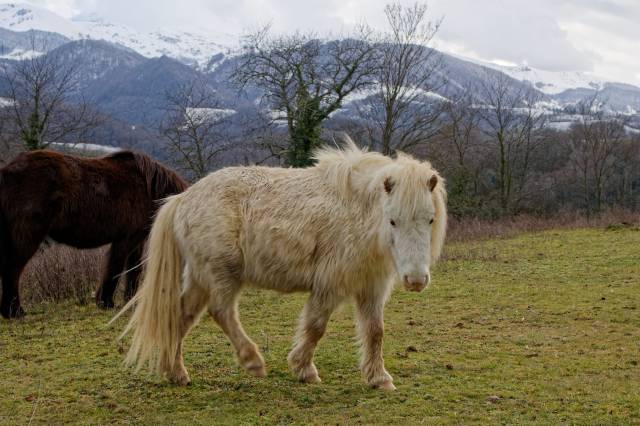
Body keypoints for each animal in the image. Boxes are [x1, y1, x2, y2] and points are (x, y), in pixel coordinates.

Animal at [1, 150, 188, 316]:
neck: (149, 190)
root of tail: (7, 171)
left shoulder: (137, 240)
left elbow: (134, 271)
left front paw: (130, 302)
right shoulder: (125, 239)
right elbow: (115, 268)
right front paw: (106, 301)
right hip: (28, 236)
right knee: (13, 268)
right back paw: (14, 312)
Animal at [114, 138, 444, 392]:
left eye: (429, 219)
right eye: (393, 220)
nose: (416, 280)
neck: (356, 213)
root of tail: (183, 199)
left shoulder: (371, 286)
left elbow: (375, 331)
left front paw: (379, 379)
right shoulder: (329, 284)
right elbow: (316, 326)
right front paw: (303, 369)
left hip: (200, 276)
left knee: (181, 316)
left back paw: (176, 372)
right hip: (222, 273)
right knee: (221, 312)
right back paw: (252, 361)